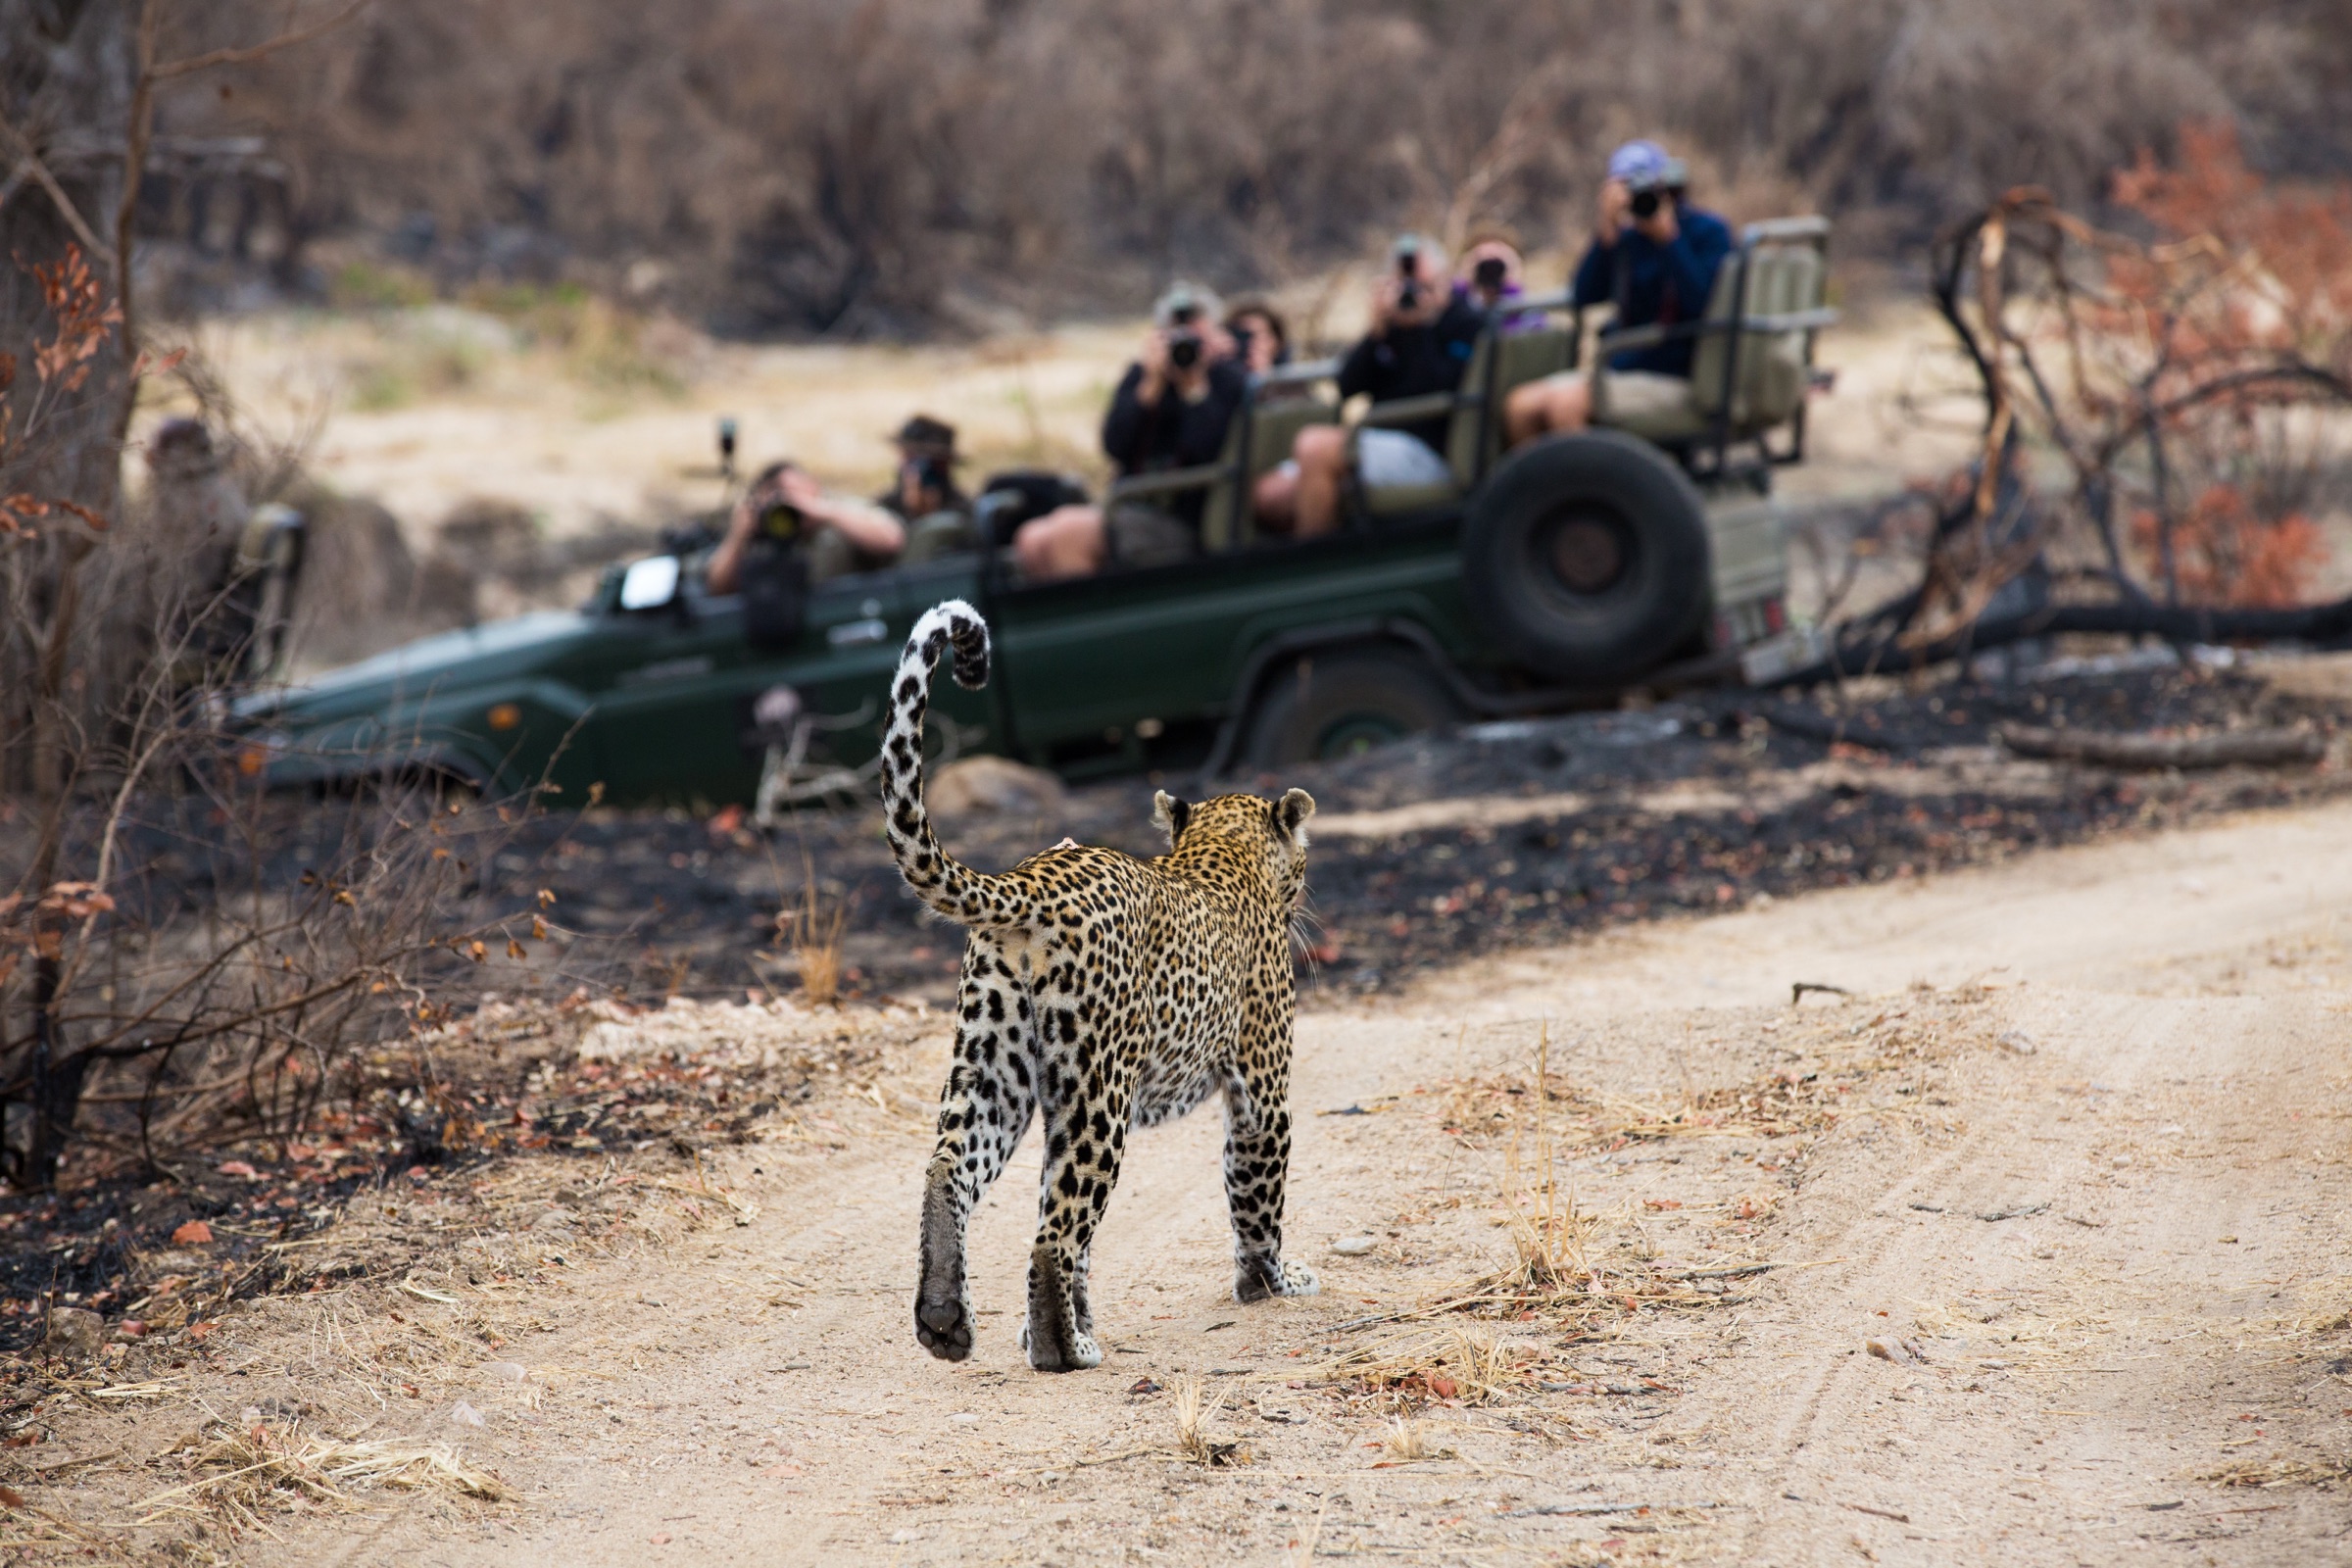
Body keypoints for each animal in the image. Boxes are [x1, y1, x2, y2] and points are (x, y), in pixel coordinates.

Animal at [880, 599, 1321, 1373]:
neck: (1221, 850)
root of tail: (1026, 879)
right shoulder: (1261, 1090)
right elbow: (1256, 1195)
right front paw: (1271, 1283)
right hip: (1098, 1089)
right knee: (1054, 1234)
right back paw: (1066, 1350)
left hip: (992, 1064)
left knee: (948, 1171)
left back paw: (946, 1318)